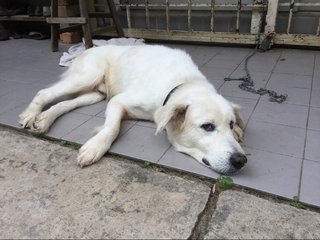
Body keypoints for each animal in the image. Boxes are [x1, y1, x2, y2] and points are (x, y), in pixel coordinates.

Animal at [19, 44, 248, 174]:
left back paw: (44, 119)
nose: (241, 160)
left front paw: (239, 131)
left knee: (65, 103)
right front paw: (95, 147)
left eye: (230, 124)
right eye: (207, 126)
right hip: (87, 77)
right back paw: (31, 115)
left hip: (95, 94)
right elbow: (112, 128)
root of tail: (87, 48)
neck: (182, 82)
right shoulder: (118, 101)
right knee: (44, 93)